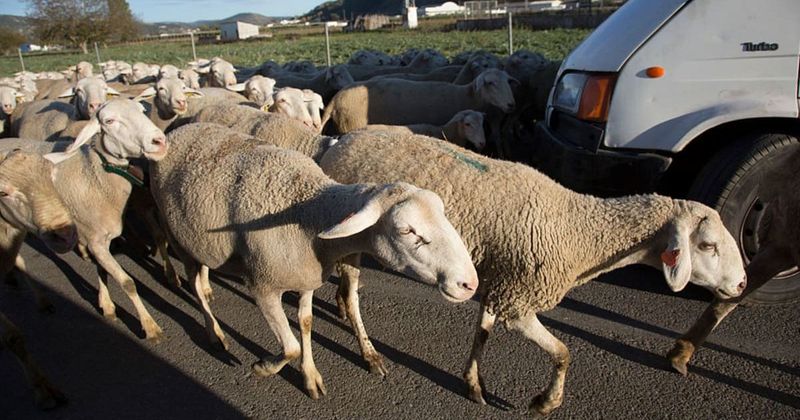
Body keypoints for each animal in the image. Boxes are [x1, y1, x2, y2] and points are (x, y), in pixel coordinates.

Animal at [0, 98, 169, 342]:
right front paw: (150, 326)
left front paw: (106, 305)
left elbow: (102, 270)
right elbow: (127, 283)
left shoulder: (96, 238)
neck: (93, 173)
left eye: (141, 111)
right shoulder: (96, 241)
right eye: (109, 121)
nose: (159, 141)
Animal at [150, 122, 478, 397]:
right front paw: (263, 367)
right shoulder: (262, 287)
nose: (470, 284)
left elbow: (306, 324)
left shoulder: (306, 278)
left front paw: (310, 377)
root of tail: (180, 129)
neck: (313, 212)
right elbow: (291, 347)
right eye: (406, 230)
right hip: (176, 235)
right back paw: (214, 333)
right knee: (193, 284)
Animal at [318, 131, 748, 416]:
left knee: (345, 288)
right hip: (353, 237)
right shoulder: (520, 302)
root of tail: (339, 142)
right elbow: (564, 353)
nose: (743, 284)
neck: (578, 231)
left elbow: (482, 332)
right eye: (708, 246)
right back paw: (369, 353)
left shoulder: (502, 284)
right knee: (353, 291)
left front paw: (474, 384)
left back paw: (340, 310)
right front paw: (545, 402)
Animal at [321, 69, 517, 134]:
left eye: (508, 81)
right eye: (490, 83)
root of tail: (336, 99)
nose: (511, 105)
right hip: (352, 123)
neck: (465, 95)